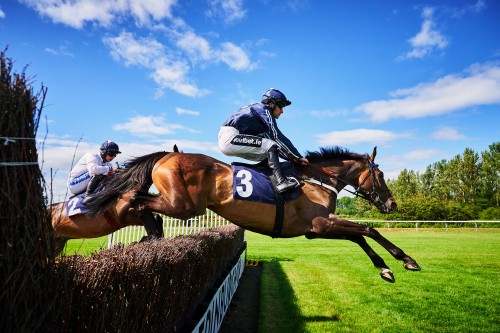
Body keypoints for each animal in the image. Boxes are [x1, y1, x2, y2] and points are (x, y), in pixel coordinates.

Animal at [87, 147, 422, 282]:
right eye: (381, 175)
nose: (392, 204)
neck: (317, 180)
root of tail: (168, 155)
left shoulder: (316, 229)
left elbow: (358, 237)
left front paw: (384, 268)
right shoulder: (320, 222)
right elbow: (368, 229)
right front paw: (405, 259)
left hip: (178, 203)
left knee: (137, 200)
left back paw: (152, 236)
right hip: (183, 205)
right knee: (138, 201)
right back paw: (155, 235)